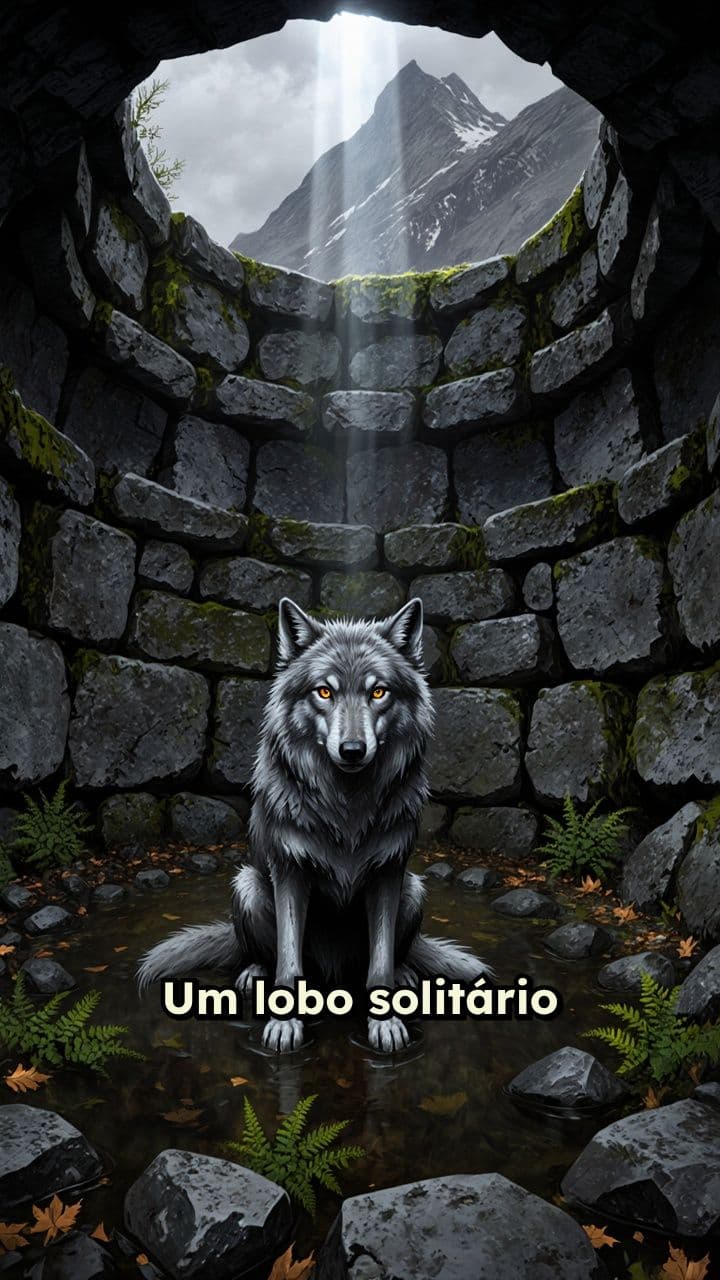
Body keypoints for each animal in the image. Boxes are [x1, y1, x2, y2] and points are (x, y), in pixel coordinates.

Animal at [137, 597, 490, 1053]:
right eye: (325, 691)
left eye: (378, 692)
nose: (353, 750)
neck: (347, 806)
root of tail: (333, 973)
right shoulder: (290, 871)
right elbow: (288, 964)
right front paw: (284, 1024)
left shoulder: (389, 873)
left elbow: (379, 964)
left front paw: (386, 1022)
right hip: (248, 886)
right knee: (266, 957)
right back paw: (253, 974)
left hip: (414, 889)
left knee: (389, 958)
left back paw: (405, 974)